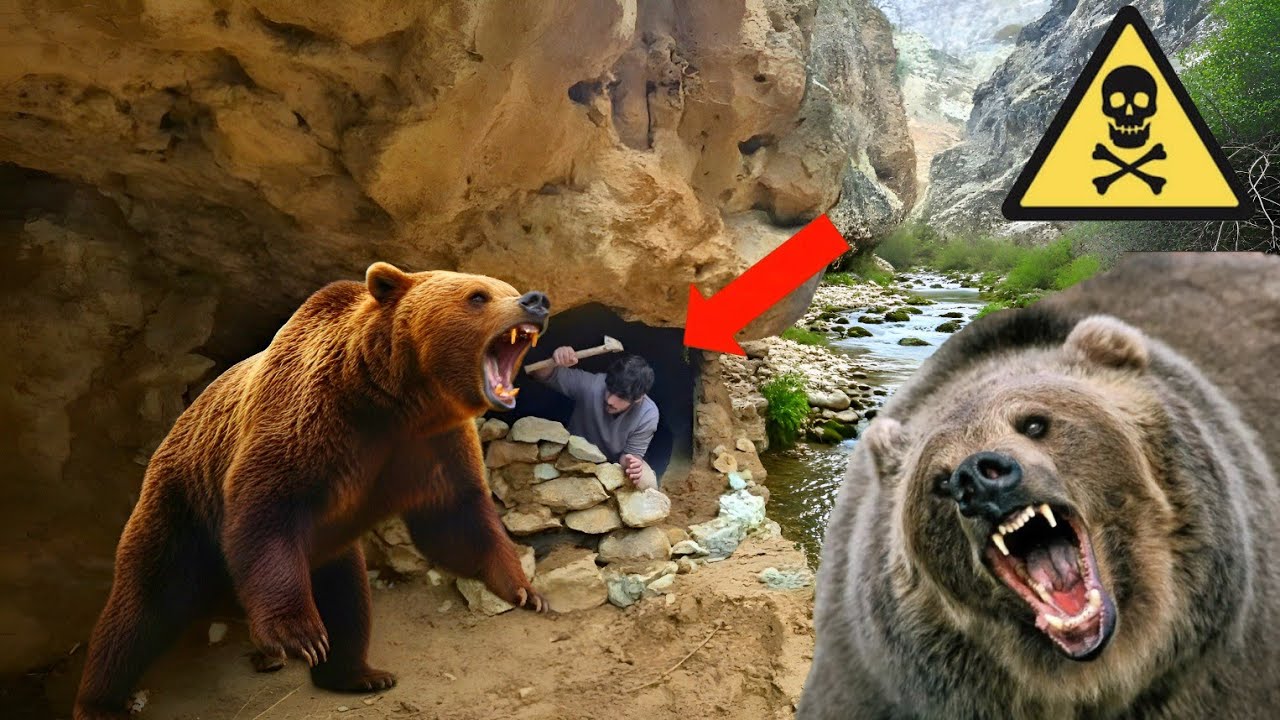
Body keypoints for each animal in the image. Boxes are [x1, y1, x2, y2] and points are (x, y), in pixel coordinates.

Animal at [74, 262, 552, 720]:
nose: (536, 300)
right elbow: (265, 512)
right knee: (141, 607)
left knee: (347, 599)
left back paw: (357, 674)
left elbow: (456, 518)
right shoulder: (311, 421)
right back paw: (100, 701)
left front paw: (525, 590)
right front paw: (296, 634)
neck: (395, 399)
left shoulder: (431, 445)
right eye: (478, 295)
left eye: (507, 287)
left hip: (327, 550)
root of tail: (169, 434)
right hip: (180, 506)